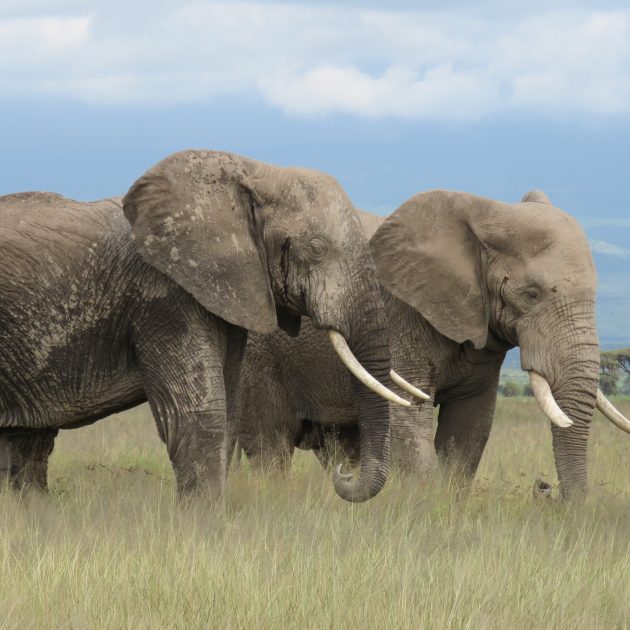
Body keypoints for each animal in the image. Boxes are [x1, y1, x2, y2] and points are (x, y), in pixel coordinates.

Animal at [0, 148, 414, 504]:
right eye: (315, 249)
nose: (344, 472)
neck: (254, 172)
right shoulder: (164, 295)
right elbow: (201, 416)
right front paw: (203, 531)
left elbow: (227, 412)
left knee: (25, 445)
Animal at [232, 190, 630, 502]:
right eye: (530, 293)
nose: (544, 487)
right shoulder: (401, 315)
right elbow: (408, 418)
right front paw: (426, 507)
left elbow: (471, 426)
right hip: (259, 355)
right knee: (269, 444)